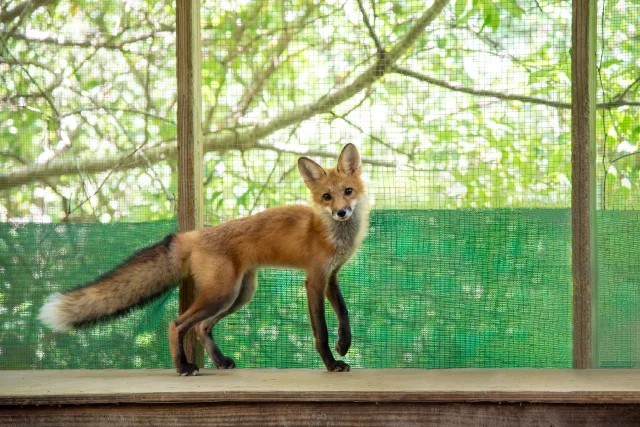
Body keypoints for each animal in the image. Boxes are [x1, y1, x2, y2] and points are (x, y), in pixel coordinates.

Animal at [38, 143, 370, 376]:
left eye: (348, 191)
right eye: (326, 197)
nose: (342, 212)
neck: (331, 233)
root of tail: (193, 234)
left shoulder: (331, 276)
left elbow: (344, 312)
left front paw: (345, 344)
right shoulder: (313, 280)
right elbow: (320, 331)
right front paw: (331, 364)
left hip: (239, 294)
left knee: (201, 327)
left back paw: (219, 361)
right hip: (222, 293)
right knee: (177, 324)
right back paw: (183, 367)